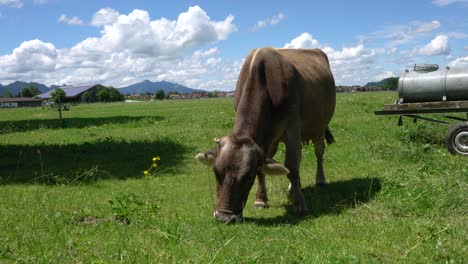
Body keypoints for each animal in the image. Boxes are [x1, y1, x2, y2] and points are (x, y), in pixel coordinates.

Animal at [196, 47, 334, 223]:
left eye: (248, 177)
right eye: (215, 172)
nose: (224, 217)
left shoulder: (293, 128)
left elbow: (292, 167)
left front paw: (300, 205)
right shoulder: (265, 139)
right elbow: (265, 169)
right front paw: (261, 200)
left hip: (319, 127)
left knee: (319, 152)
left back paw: (320, 179)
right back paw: (292, 187)